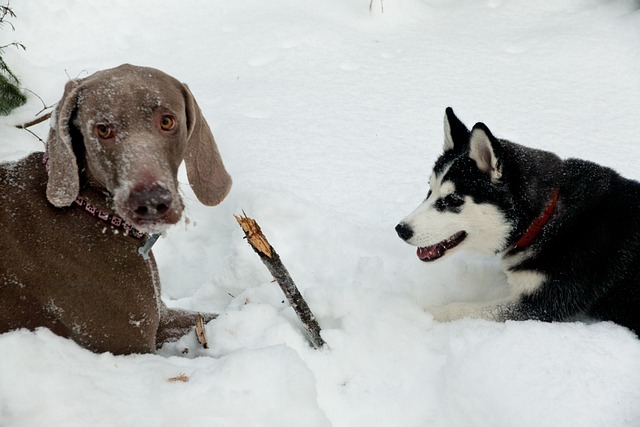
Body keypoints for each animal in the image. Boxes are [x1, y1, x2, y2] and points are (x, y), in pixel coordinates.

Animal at [0, 64, 234, 354]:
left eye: (167, 121)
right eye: (102, 129)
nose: (151, 202)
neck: (93, 209)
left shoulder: (162, 317)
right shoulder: (129, 346)